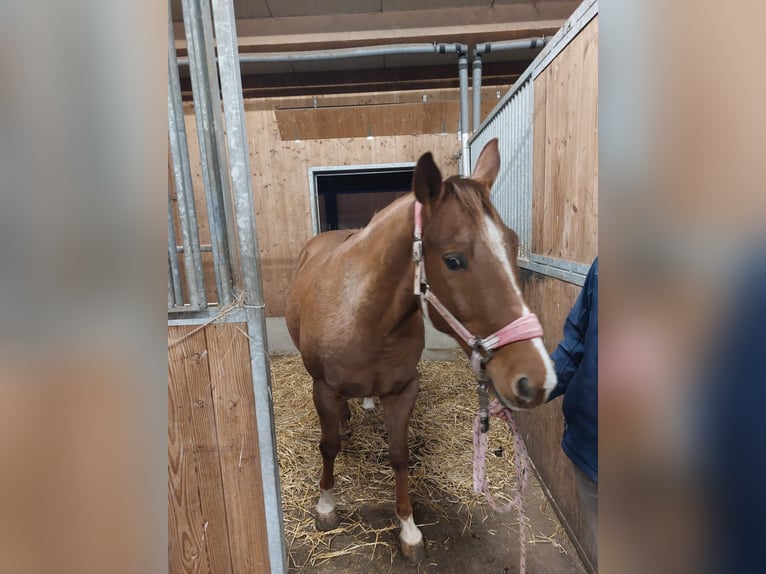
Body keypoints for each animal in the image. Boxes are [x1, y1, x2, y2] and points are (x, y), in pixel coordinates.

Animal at [285, 139, 556, 562]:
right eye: (453, 260)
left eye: (512, 245)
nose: (538, 379)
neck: (367, 320)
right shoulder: (324, 388)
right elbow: (328, 446)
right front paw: (326, 505)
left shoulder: (402, 391)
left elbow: (400, 455)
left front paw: (408, 529)